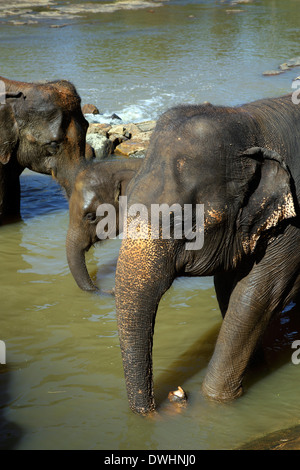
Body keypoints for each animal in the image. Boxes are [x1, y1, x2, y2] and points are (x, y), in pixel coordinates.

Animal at [113, 93, 300, 414]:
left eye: (180, 221)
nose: (164, 403)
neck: (252, 122)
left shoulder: (295, 224)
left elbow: (258, 294)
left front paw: (215, 401)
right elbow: (227, 288)